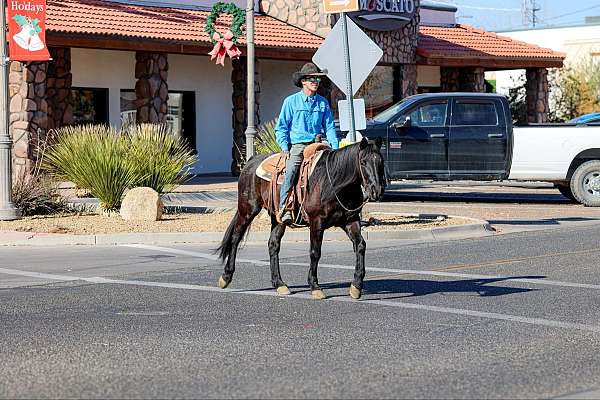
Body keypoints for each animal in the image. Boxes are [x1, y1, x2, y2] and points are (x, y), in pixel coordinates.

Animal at [216, 138, 384, 300]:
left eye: (380, 161)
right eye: (363, 161)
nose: (376, 190)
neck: (333, 183)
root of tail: (250, 161)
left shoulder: (350, 220)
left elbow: (360, 245)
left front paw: (356, 286)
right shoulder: (317, 222)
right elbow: (315, 252)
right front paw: (315, 287)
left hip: (278, 218)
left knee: (273, 244)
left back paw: (279, 284)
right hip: (248, 209)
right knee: (235, 238)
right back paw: (226, 277)